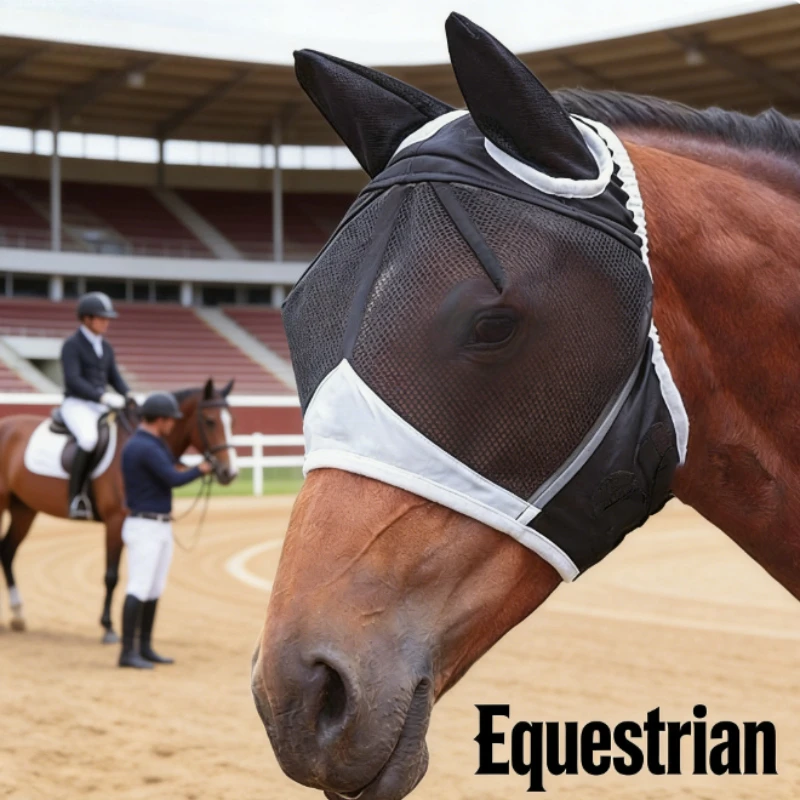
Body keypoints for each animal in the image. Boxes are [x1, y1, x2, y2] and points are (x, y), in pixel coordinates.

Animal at [0, 378, 238, 639]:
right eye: (210, 421)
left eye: (232, 421)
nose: (229, 472)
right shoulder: (116, 521)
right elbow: (112, 575)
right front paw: (108, 626)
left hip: (24, 509)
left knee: (7, 551)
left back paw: (18, 615)